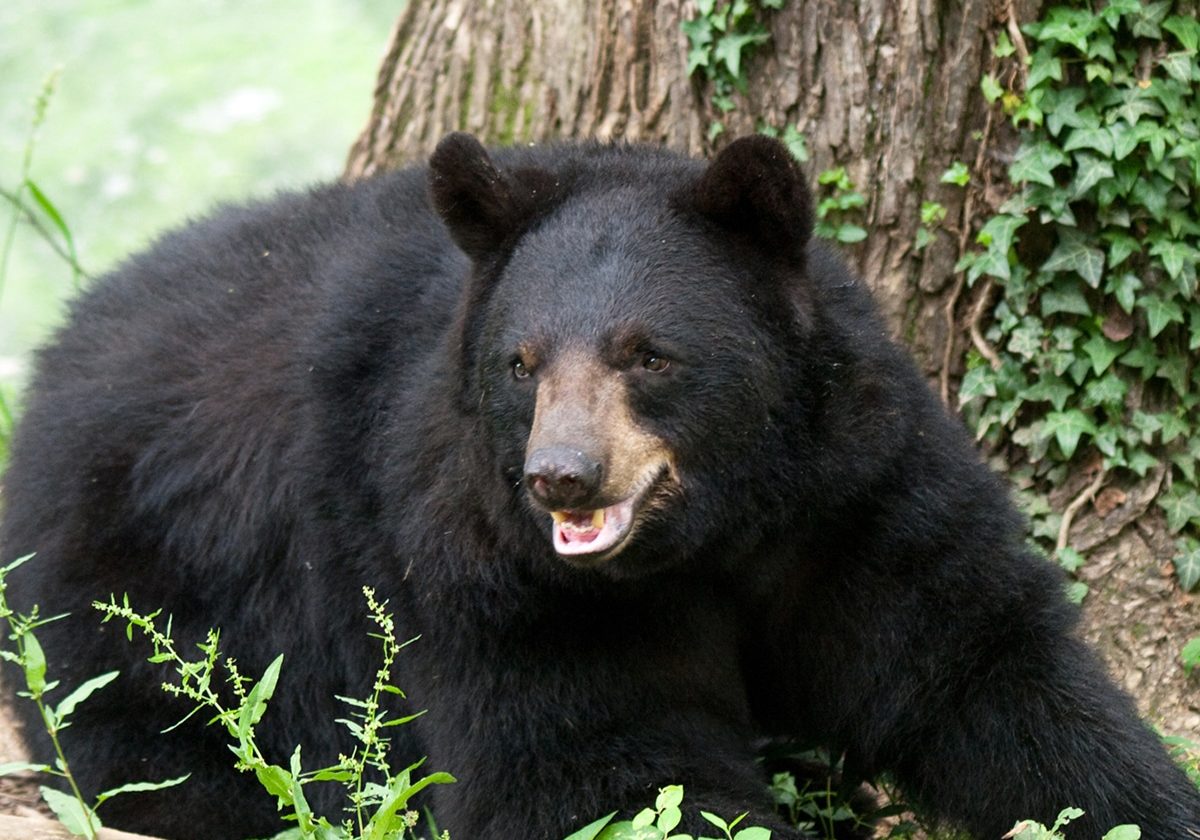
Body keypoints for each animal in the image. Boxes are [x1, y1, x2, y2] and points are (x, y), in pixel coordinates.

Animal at [2, 132, 1199, 840]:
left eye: (649, 354)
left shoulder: (851, 494)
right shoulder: (485, 565)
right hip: (132, 600)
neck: (716, 533)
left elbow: (979, 666)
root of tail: (55, 354)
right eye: (521, 363)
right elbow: (598, 764)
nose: (560, 480)